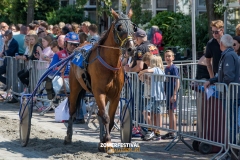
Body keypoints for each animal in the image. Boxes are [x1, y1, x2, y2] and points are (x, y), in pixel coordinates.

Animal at [63, 9, 136, 151]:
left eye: (133, 27)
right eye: (119, 28)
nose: (131, 49)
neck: (110, 65)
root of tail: (79, 47)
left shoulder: (115, 95)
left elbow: (110, 119)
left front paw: (104, 142)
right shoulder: (99, 92)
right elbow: (106, 117)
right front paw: (108, 142)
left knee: (99, 113)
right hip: (75, 87)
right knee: (72, 110)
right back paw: (68, 137)